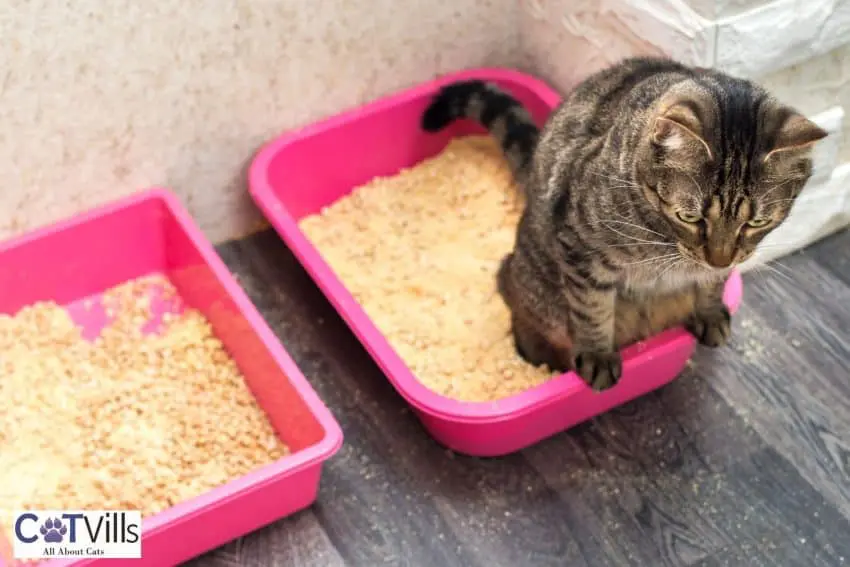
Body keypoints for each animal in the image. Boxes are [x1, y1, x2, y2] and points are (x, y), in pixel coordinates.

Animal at [420, 58, 824, 394]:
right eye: (689, 216)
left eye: (757, 222)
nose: (720, 258)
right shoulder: (581, 251)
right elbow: (592, 310)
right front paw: (598, 355)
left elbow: (711, 285)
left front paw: (709, 312)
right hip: (536, 293)